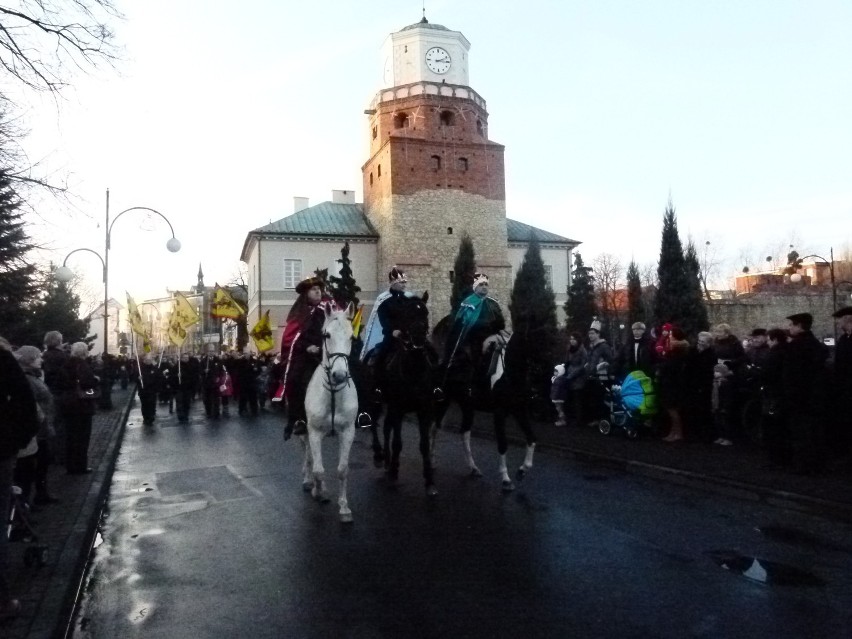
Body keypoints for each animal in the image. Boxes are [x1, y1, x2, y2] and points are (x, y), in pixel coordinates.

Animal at [300, 308, 360, 524]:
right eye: (327, 335)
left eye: (352, 336)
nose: (339, 375)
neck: (333, 394)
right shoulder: (315, 432)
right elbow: (318, 470)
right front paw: (320, 492)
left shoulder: (347, 432)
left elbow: (342, 470)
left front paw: (344, 508)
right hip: (305, 431)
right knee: (308, 455)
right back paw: (309, 481)